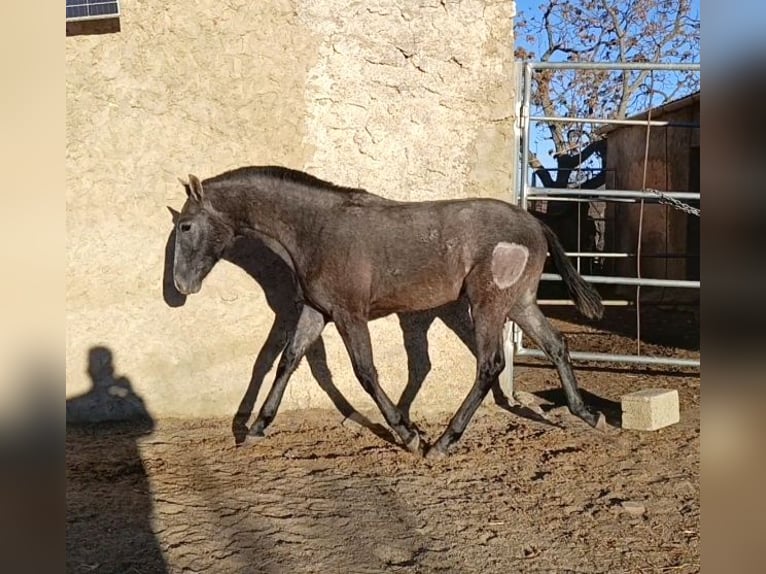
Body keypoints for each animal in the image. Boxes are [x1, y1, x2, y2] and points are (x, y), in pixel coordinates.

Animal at [172, 166, 608, 460]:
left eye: (186, 226)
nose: (180, 285)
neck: (317, 229)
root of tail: (534, 223)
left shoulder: (349, 314)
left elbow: (364, 372)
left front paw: (407, 433)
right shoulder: (316, 311)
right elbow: (285, 361)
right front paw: (256, 428)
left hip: (487, 304)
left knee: (489, 365)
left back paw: (442, 443)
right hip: (518, 303)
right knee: (556, 345)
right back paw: (587, 414)